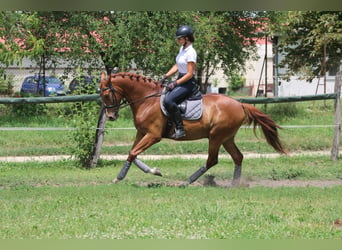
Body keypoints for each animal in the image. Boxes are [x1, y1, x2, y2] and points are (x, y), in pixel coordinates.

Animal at [99, 72, 286, 186]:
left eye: (107, 95)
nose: (111, 117)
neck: (147, 100)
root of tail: (239, 104)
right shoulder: (142, 133)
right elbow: (133, 153)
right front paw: (154, 171)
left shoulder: (153, 135)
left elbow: (133, 153)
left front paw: (119, 177)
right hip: (227, 138)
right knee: (238, 157)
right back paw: (234, 184)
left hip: (216, 136)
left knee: (212, 160)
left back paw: (187, 182)